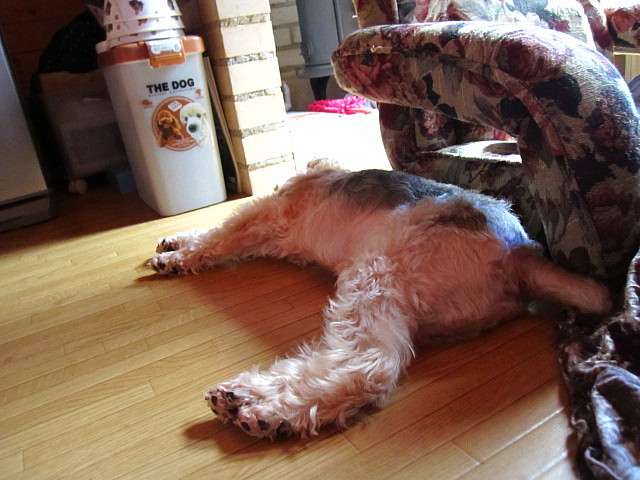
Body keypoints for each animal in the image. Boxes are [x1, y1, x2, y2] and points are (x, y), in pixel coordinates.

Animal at [149, 160, 611, 440]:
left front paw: (175, 257)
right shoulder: (272, 233)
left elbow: (219, 235)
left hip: (377, 273)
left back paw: (266, 408)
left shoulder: (268, 215)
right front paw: (174, 242)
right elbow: (214, 236)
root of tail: (521, 253)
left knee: (370, 364)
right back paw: (253, 403)